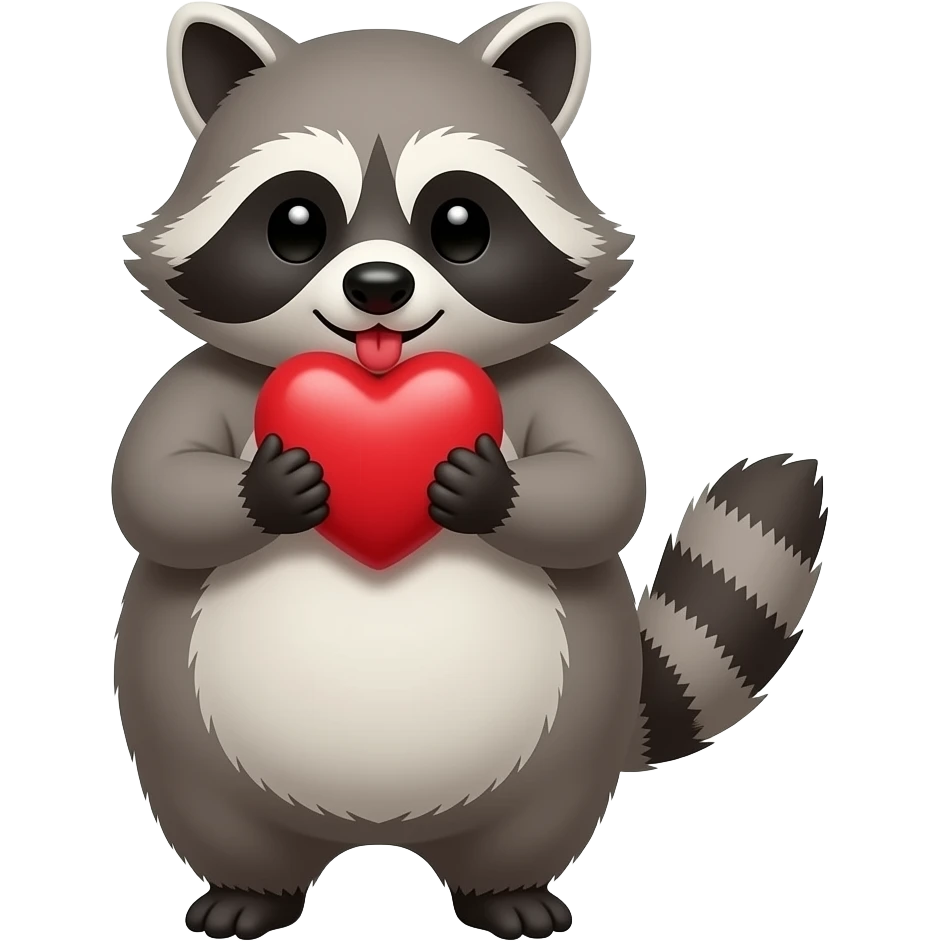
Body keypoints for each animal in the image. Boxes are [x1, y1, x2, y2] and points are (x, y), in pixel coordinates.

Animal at [114, 4, 827, 939]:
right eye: (295, 225)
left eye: (460, 225)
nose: (378, 286)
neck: (381, 376)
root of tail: (376, 827)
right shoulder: (200, 381)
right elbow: (150, 486)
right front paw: (270, 487)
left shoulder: (553, 381)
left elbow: (604, 487)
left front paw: (486, 488)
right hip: (187, 737)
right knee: (215, 811)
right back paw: (250, 887)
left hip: (569, 736)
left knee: (533, 818)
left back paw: (507, 888)